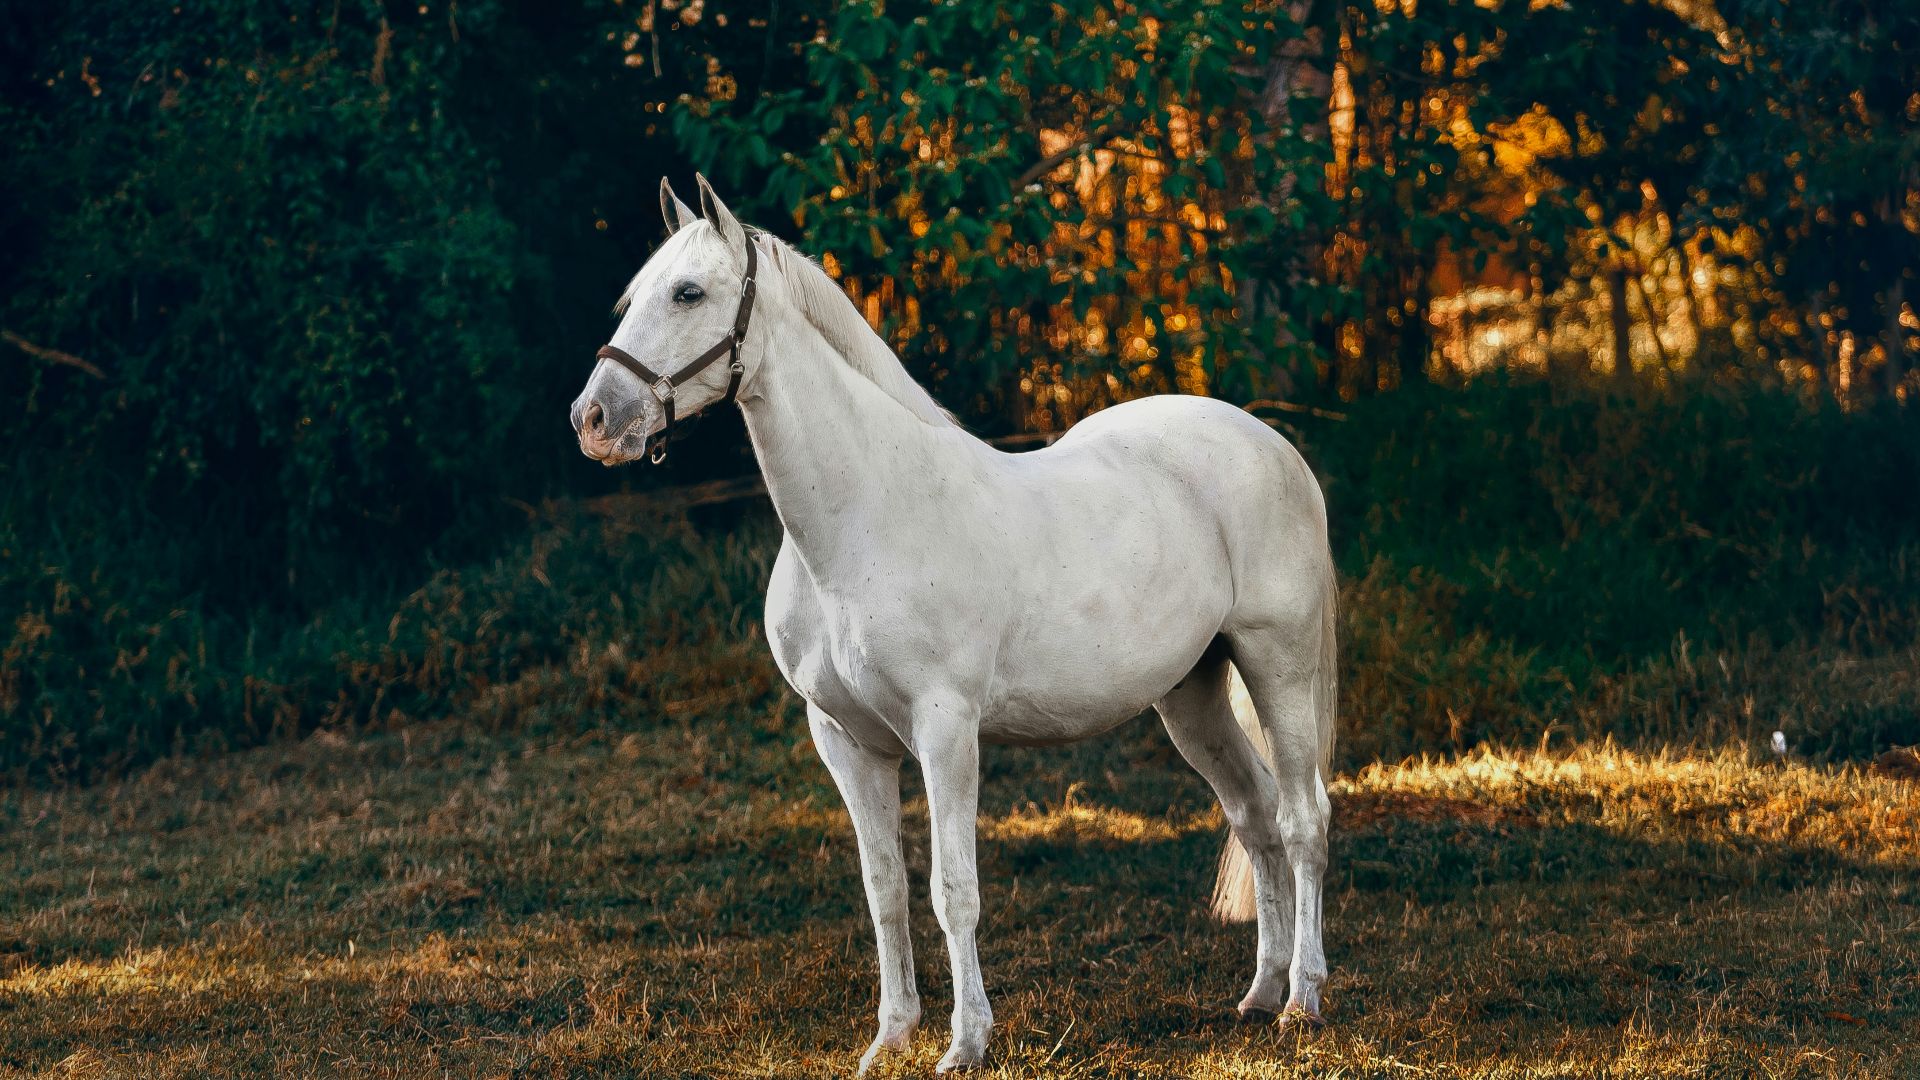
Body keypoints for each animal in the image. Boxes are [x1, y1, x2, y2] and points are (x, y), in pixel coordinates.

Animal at [570, 176, 1338, 1074]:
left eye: (688, 292)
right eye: (634, 297)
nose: (594, 420)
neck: (864, 517)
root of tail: (1272, 445)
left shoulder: (945, 729)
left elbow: (952, 890)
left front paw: (965, 1042)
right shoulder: (845, 739)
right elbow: (885, 891)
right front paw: (891, 1037)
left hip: (1277, 664)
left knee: (1302, 818)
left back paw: (1303, 999)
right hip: (1191, 695)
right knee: (1254, 816)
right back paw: (1259, 993)